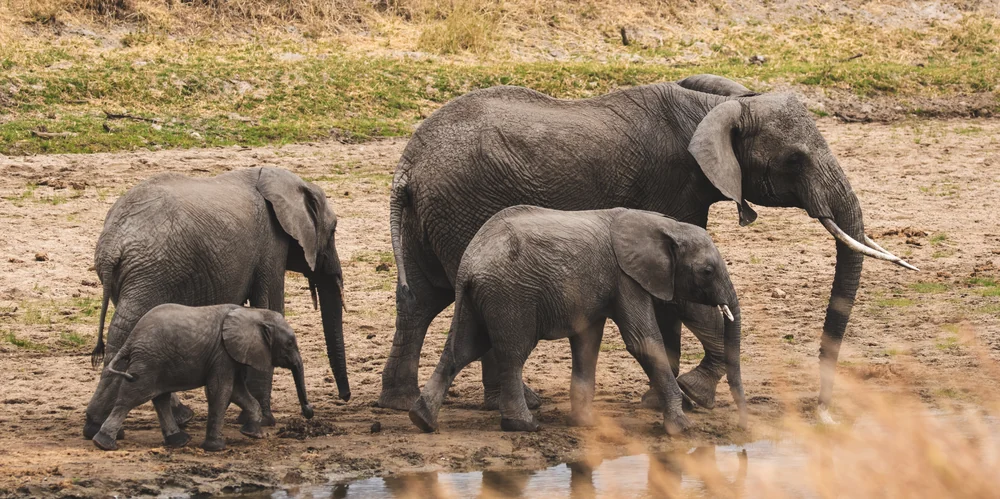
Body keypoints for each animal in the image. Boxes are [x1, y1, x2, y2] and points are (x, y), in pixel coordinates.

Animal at [90, 304, 314, 452]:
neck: (253, 313)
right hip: (149, 361)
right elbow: (220, 390)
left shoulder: (232, 355)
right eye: (290, 344)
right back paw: (103, 443)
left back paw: (180, 441)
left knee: (160, 398)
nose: (309, 412)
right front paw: (216, 447)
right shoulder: (222, 353)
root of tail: (131, 339)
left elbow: (237, 392)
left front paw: (253, 434)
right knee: (132, 396)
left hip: (156, 363)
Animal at [408, 207, 746, 435]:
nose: (744, 418)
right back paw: (524, 425)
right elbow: (643, 342)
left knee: (462, 350)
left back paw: (422, 420)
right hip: (510, 296)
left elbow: (587, 342)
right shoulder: (626, 277)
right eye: (707, 271)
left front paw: (585, 423)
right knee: (512, 355)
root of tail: (468, 265)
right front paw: (683, 428)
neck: (662, 224)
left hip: (478, 298)